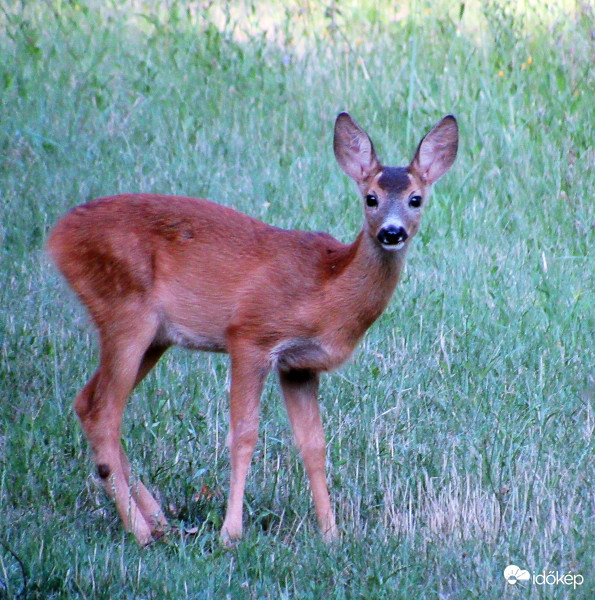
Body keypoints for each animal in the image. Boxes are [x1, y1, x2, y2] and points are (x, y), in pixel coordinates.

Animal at [46, 110, 458, 548]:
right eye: (371, 198)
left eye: (416, 199)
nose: (391, 232)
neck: (325, 288)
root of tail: (58, 236)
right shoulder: (250, 335)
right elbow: (243, 436)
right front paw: (231, 533)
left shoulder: (299, 365)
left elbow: (314, 445)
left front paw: (330, 534)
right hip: (124, 310)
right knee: (104, 412)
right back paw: (141, 532)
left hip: (154, 336)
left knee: (87, 403)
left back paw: (157, 520)